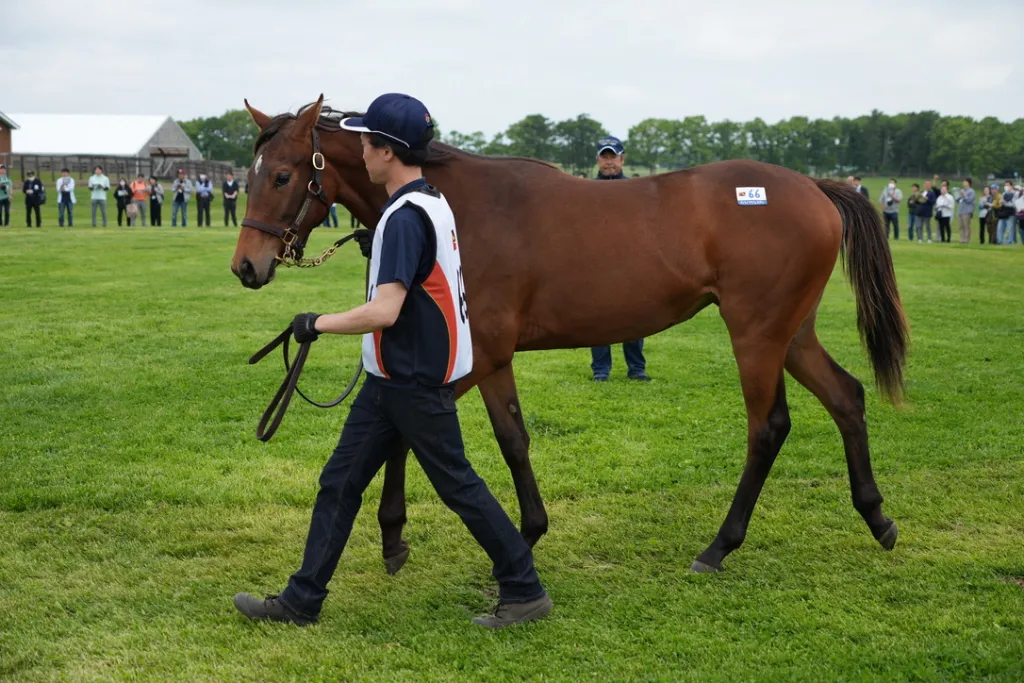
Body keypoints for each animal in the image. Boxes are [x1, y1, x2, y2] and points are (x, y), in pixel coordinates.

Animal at [231, 95, 909, 575]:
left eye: (284, 175)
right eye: (251, 174)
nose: (245, 266)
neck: (451, 205)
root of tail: (814, 186)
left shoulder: (473, 355)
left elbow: (406, 433)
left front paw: (395, 534)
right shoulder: (491, 359)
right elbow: (511, 439)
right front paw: (527, 531)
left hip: (757, 335)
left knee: (767, 429)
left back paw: (720, 545)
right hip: (791, 333)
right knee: (846, 396)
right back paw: (876, 517)